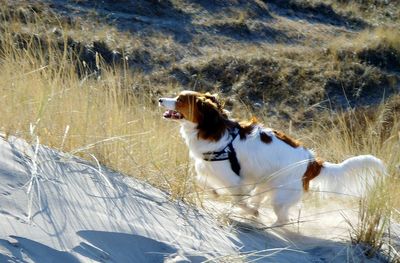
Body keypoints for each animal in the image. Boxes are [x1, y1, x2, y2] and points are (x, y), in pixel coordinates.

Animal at [159, 91, 384, 225]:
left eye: (180, 100)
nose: (160, 99)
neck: (213, 129)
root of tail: (312, 162)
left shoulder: (233, 178)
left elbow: (239, 198)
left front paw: (248, 210)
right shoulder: (208, 169)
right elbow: (203, 182)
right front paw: (215, 194)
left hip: (280, 197)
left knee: (282, 218)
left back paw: (267, 225)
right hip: (265, 183)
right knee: (260, 200)